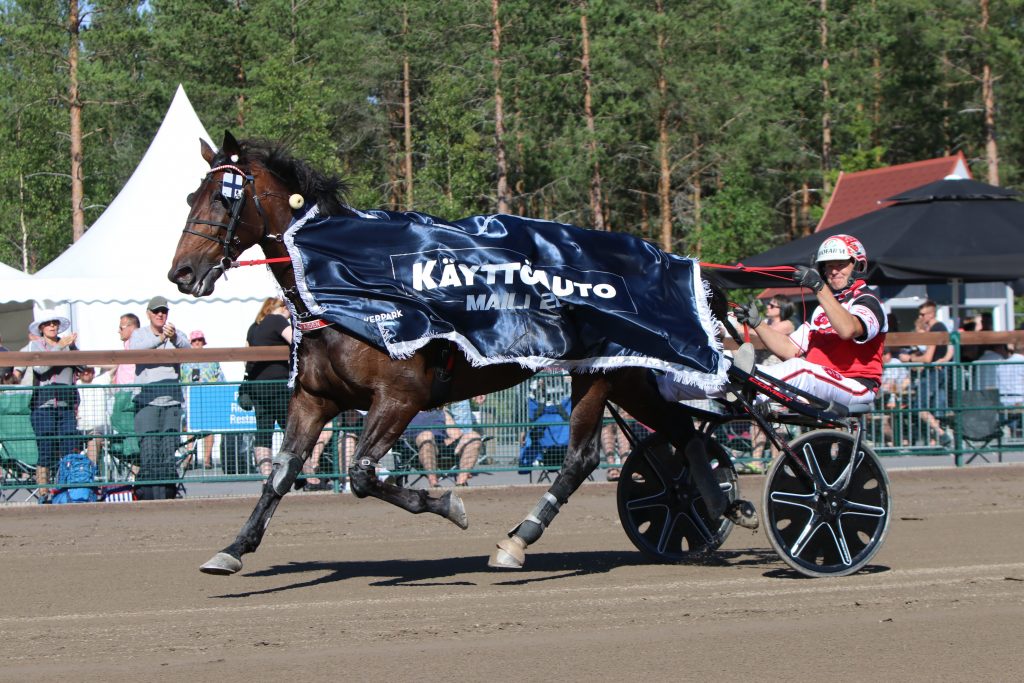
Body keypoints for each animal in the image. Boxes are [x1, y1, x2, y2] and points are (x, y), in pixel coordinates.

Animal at [172, 131, 737, 573]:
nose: (181, 272)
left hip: (599, 374)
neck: (343, 283)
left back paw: (519, 539)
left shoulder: (401, 396)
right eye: (191, 195)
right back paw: (715, 509)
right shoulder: (314, 399)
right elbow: (281, 473)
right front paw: (234, 547)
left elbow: (362, 475)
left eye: (224, 198)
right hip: (626, 375)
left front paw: (447, 504)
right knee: (682, 433)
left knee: (582, 458)